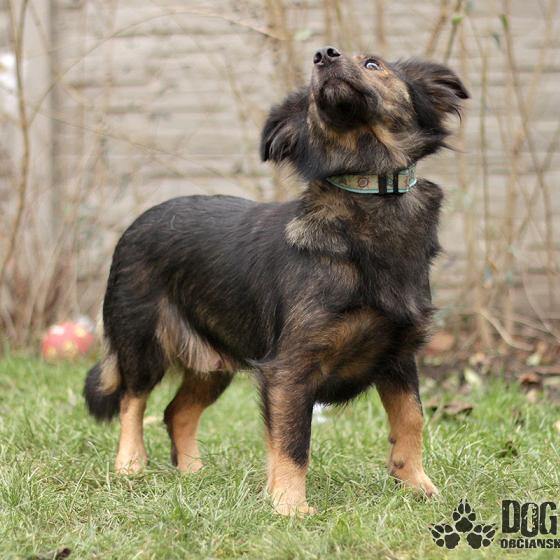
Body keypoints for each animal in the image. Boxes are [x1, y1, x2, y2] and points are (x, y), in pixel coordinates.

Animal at [84, 46, 468, 515]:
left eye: (373, 64)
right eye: (308, 89)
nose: (324, 54)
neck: (367, 192)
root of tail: (136, 224)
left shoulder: (398, 356)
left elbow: (411, 419)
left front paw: (415, 485)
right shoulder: (290, 370)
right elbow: (293, 442)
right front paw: (289, 507)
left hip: (213, 364)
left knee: (177, 412)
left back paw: (193, 474)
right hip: (142, 342)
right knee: (132, 400)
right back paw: (130, 465)